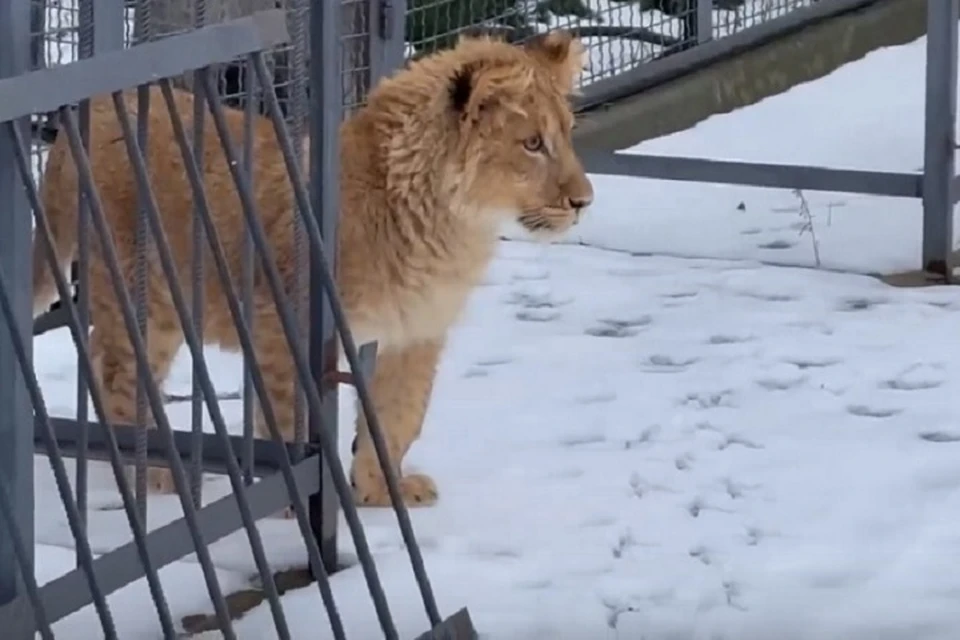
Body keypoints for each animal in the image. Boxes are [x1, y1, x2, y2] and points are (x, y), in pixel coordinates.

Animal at [31, 31, 592, 510]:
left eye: (567, 135)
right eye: (532, 144)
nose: (584, 201)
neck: (449, 224)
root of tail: (83, 120)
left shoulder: (416, 333)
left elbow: (399, 415)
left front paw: (380, 491)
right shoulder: (284, 328)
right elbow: (287, 420)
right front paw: (294, 508)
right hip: (144, 297)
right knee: (115, 374)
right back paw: (156, 473)